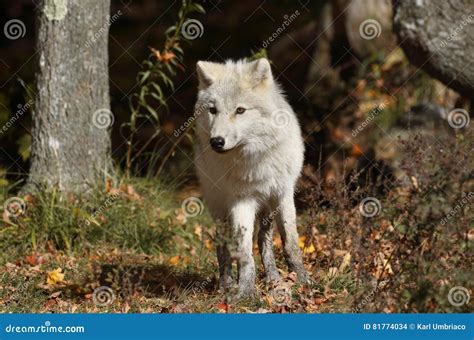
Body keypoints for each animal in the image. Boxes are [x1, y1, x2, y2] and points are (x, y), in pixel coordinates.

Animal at [193, 58, 308, 298]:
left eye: (240, 110)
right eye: (213, 110)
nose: (216, 141)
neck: (255, 158)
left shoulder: (283, 193)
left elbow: (291, 243)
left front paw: (303, 280)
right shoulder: (241, 200)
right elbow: (244, 252)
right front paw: (245, 291)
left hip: (267, 210)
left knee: (264, 240)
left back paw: (273, 278)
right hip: (220, 209)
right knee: (223, 247)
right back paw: (225, 284)